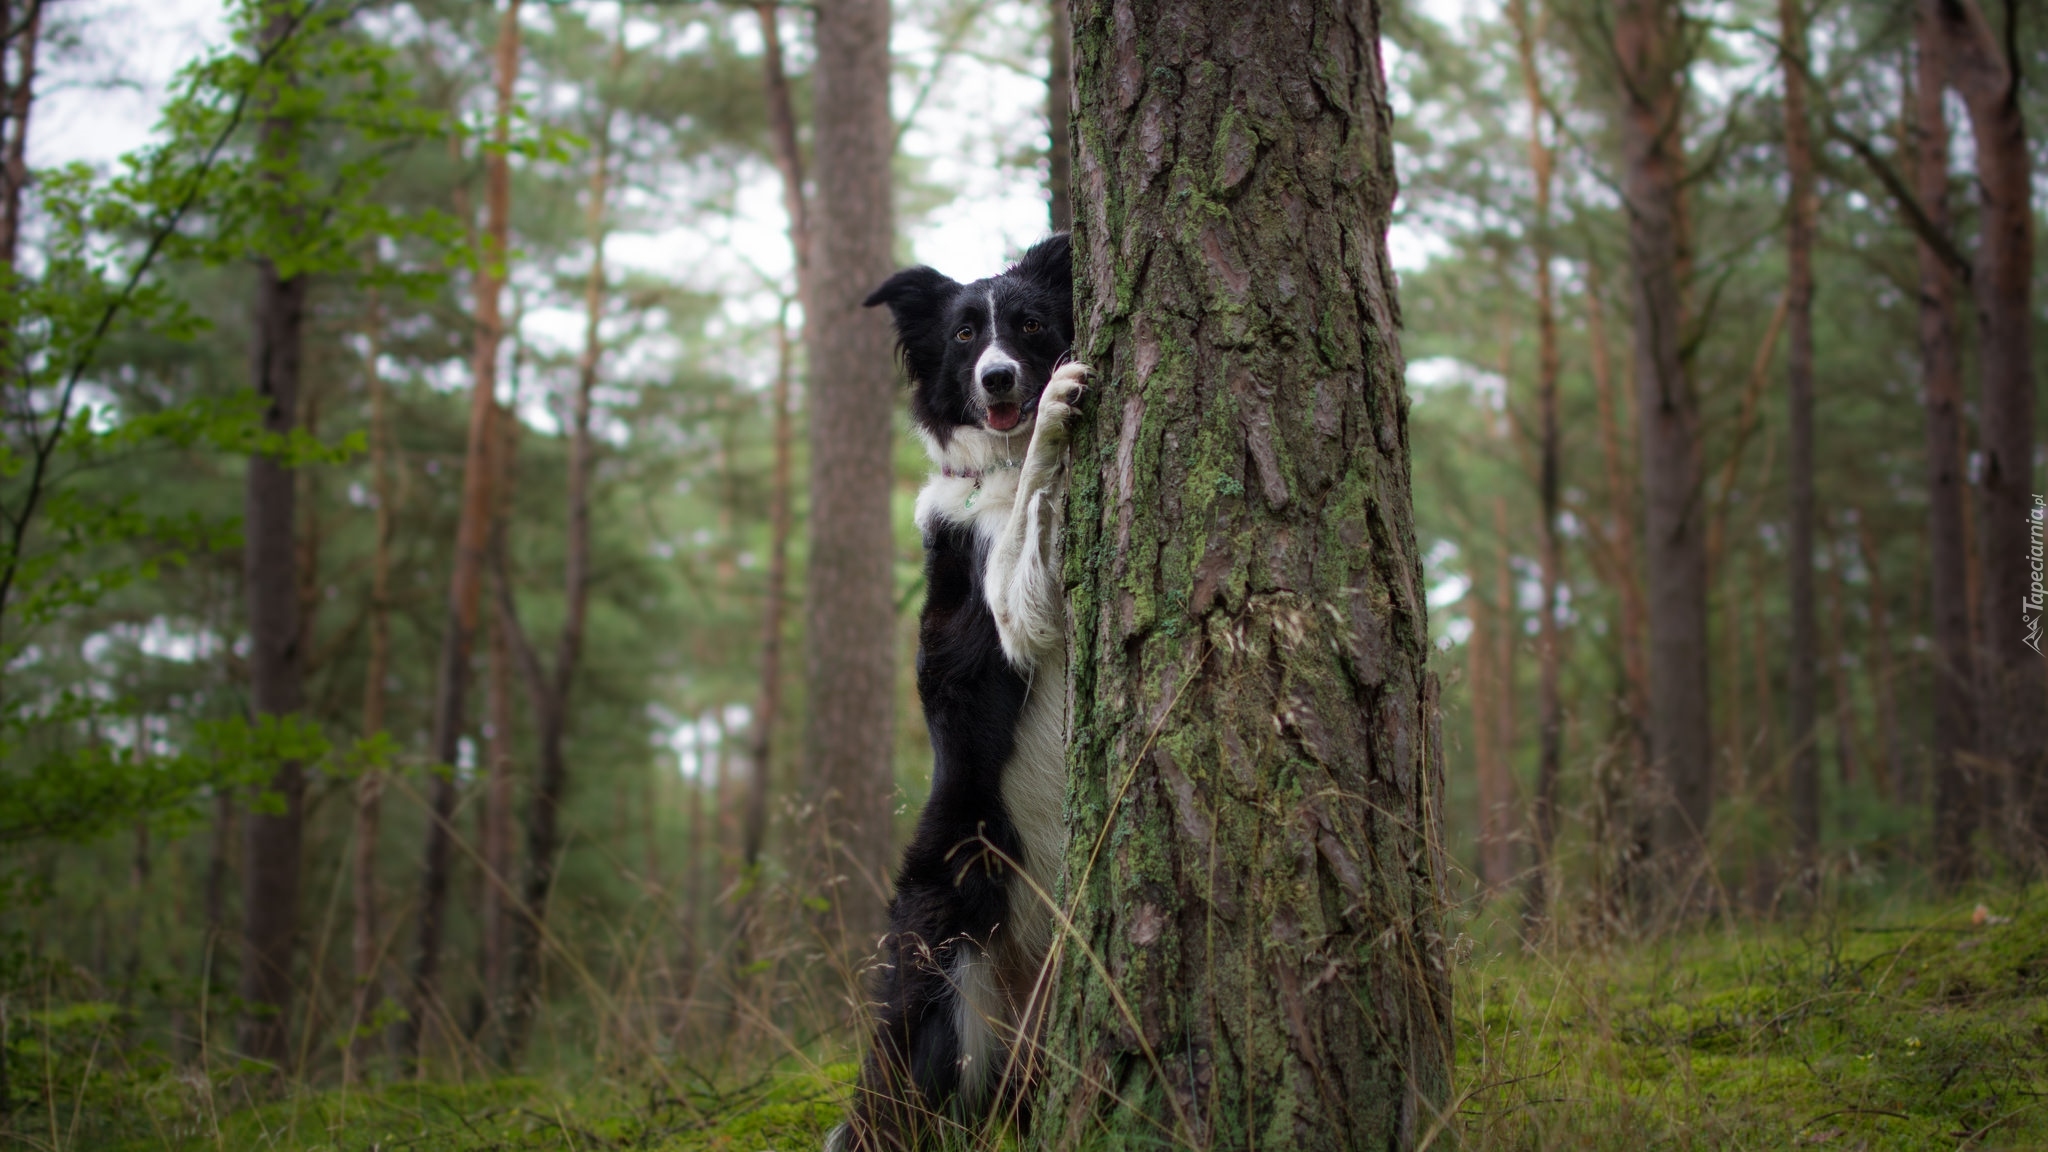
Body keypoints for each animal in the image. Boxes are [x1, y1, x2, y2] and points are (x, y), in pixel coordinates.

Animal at [827, 235, 1089, 1147]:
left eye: (1031, 323)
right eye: (965, 336)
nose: (1002, 380)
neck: (994, 475)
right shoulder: (1012, 611)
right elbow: (1032, 509)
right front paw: (1055, 412)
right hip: (944, 974)